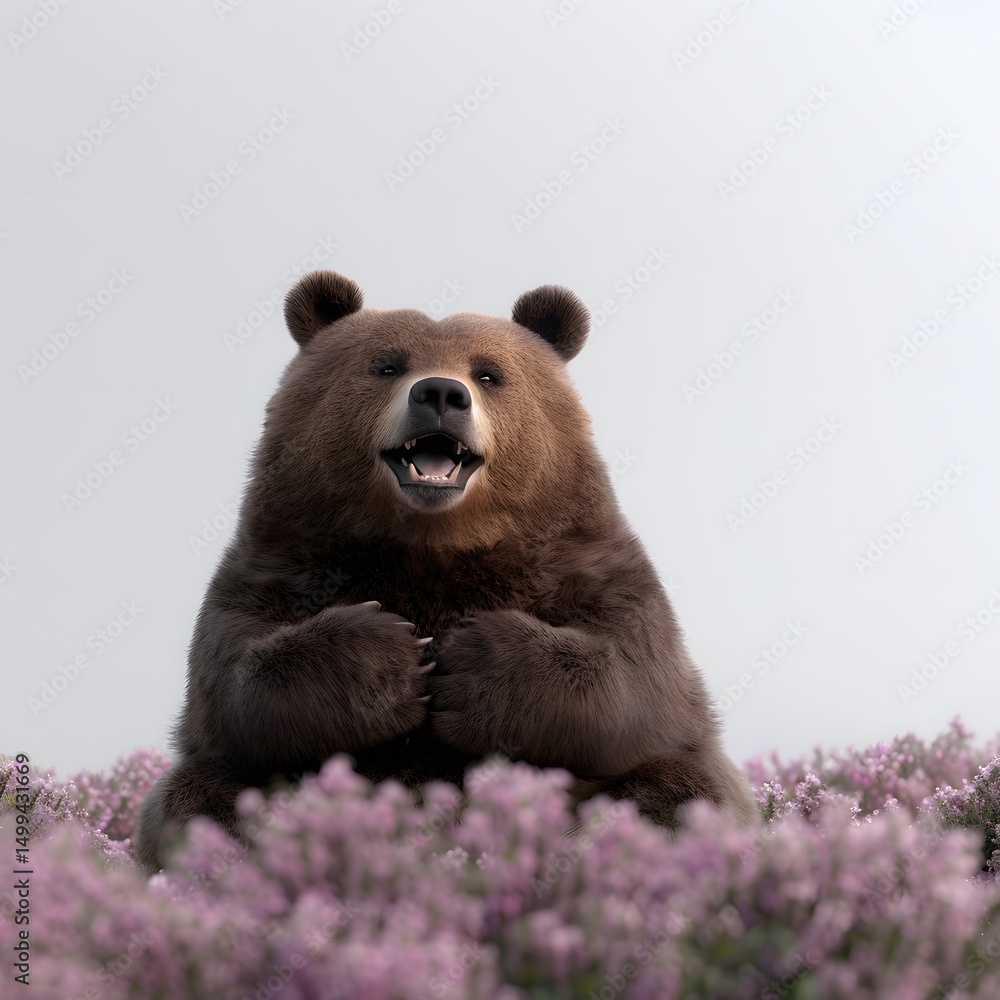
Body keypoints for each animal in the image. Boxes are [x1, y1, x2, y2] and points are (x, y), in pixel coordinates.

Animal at [133, 270, 757, 872]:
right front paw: (392, 654)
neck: (434, 546)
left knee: (678, 794)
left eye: (489, 374)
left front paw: (471, 658)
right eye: (386, 364)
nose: (440, 392)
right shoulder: (279, 561)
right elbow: (235, 683)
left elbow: (637, 680)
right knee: (198, 798)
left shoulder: (589, 565)